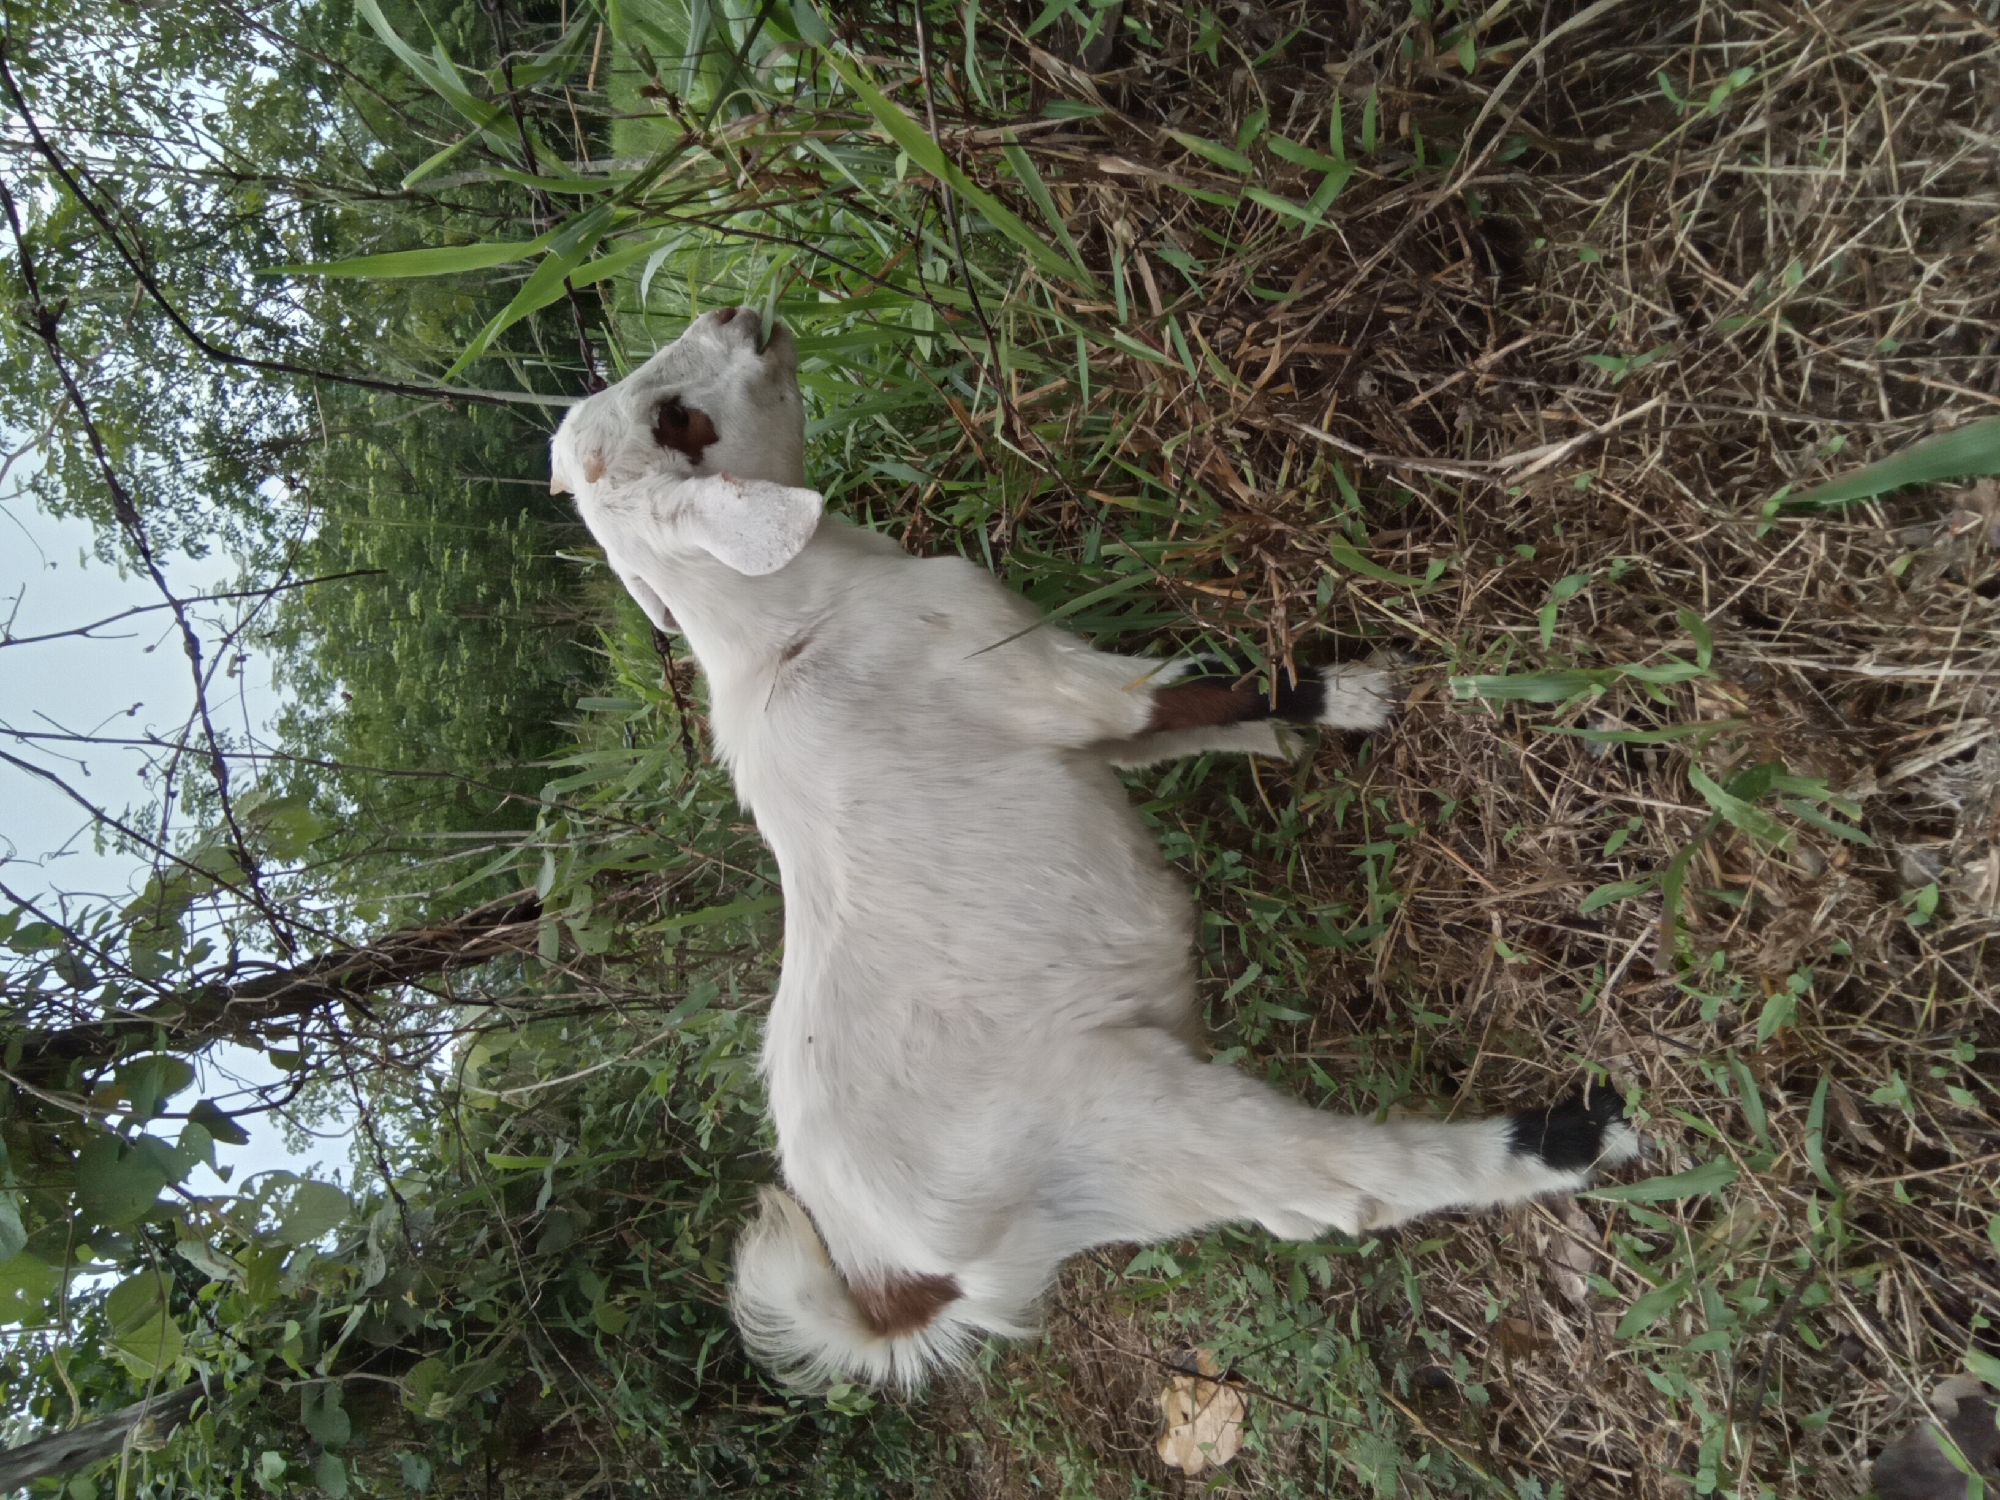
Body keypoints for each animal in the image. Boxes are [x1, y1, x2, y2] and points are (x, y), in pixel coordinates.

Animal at [551, 307, 1639, 1393]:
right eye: (676, 415)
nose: (735, 315)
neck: (785, 630)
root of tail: (903, 1282)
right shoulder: (1032, 670)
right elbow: (1198, 690)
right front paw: (1358, 693)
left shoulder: (1078, 719)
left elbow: (1184, 727)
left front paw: (1288, 740)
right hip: (1133, 1117)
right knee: (1354, 1178)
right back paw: (1577, 1134)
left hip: (1132, 1177)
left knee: (1300, 1209)